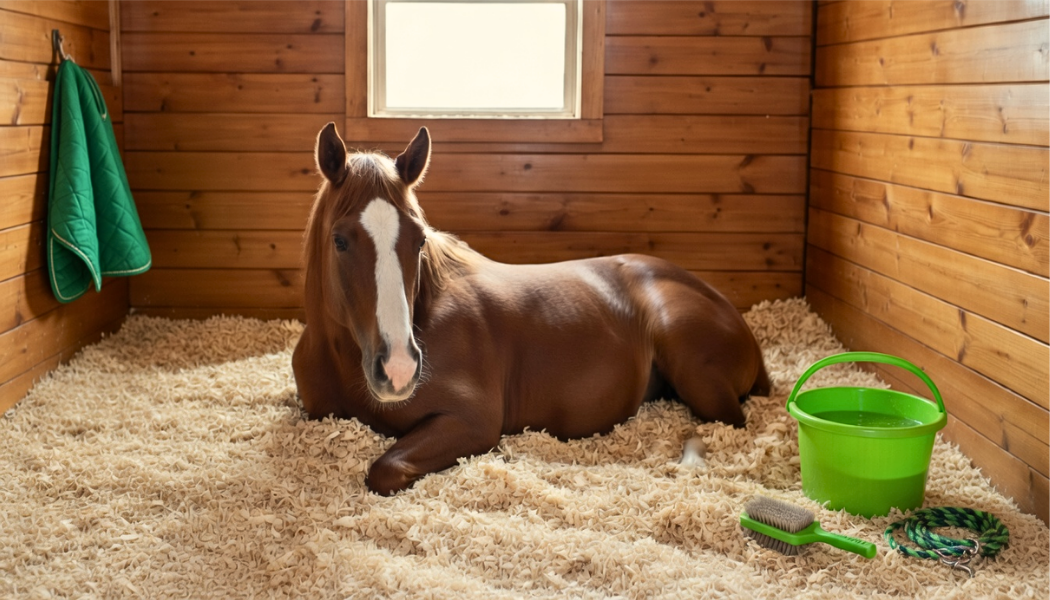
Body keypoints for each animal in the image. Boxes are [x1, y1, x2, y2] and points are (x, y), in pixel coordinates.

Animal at [292, 123, 771, 496]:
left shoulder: (473, 421)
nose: (399, 369)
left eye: (420, 238)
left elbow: (385, 468)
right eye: (340, 240)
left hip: (698, 377)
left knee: (728, 424)